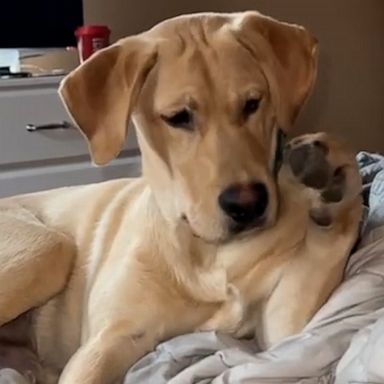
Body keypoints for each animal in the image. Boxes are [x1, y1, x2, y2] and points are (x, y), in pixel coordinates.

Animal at [0, 10, 364, 384]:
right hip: (49, 249)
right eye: (178, 118)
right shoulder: (106, 341)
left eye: (252, 103)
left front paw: (331, 186)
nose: (248, 205)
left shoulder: (280, 330)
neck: (208, 254)